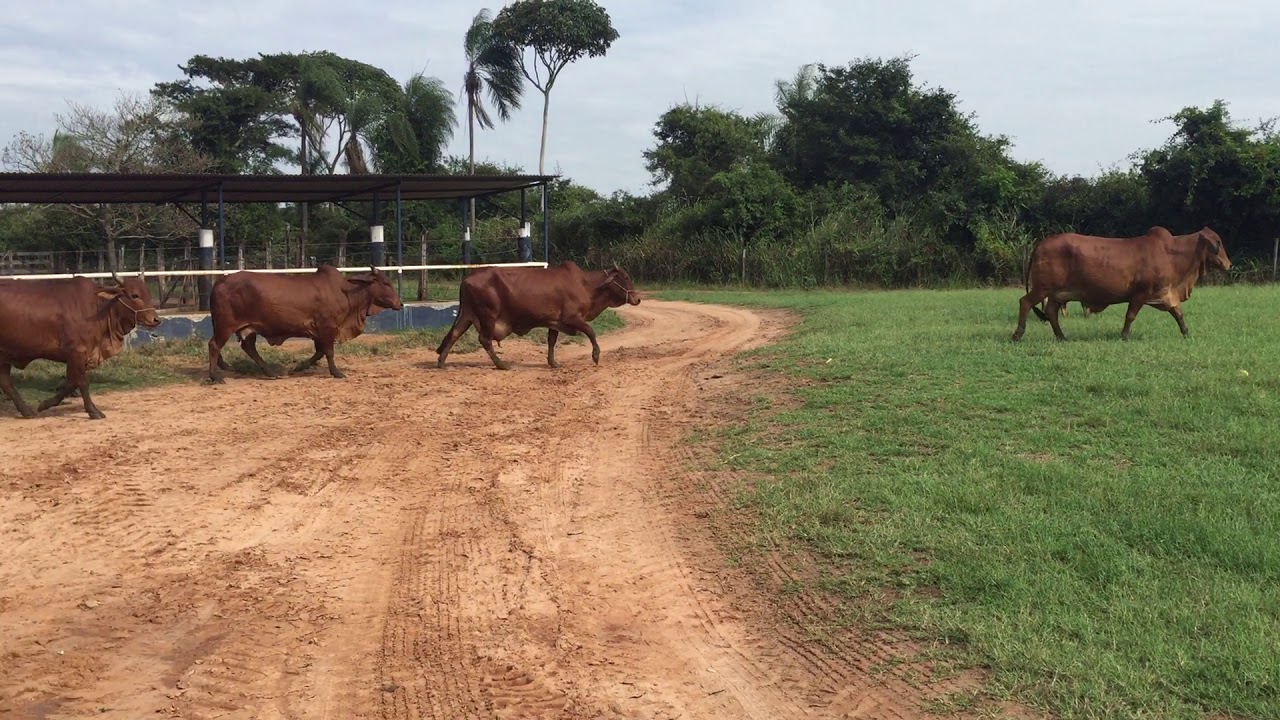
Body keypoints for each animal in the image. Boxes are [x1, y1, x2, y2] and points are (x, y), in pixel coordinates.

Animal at [0, 273, 160, 420]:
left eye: (148, 294)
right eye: (134, 295)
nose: (155, 319)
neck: (98, 308)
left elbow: (71, 382)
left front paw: (45, 404)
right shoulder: (76, 351)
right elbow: (81, 382)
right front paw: (93, 411)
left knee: (6, 383)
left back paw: (27, 411)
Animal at [207, 265, 404, 383]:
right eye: (386, 283)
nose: (400, 303)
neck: (347, 293)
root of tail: (220, 281)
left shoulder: (318, 332)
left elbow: (319, 352)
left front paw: (299, 366)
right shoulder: (327, 327)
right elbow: (328, 352)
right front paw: (337, 372)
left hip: (249, 328)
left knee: (249, 348)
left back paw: (270, 372)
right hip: (225, 325)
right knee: (214, 345)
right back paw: (215, 376)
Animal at [435, 261, 641, 370]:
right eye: (626, 277)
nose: (637, 298)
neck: (586, 285)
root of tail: (467, 278)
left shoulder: (554, 322)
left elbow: (552, 341)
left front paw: (553, 362)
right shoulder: (572, 318)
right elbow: (591, 332)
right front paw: (596, 356)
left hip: (468, 314)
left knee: (455, 334)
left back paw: (442, 362)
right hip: (488, 314)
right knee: (484, 340)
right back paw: (502, 364)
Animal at [1012, 226, 1232, 342]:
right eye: (1218, 242)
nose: (1229, 264)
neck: (1171, 254)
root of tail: (1041, 243)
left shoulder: (1166, 294)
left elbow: (1178, 314)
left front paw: (1186, 333)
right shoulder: (1140, 295)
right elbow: (1130, 316)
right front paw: (1124, 335)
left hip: (1056, 294)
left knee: (1051, 312)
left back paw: (1062, 336)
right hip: (1043, 288)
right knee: (1025, 302)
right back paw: (1017, 335)